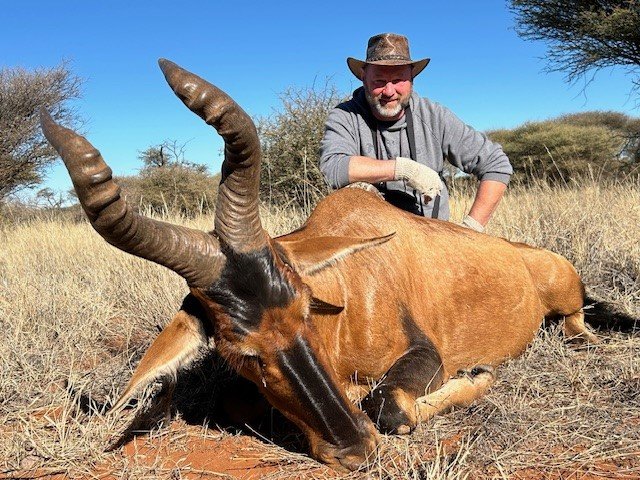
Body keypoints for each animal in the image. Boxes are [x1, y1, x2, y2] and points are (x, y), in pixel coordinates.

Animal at [42, 58, 604, 470]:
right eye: (241, 353)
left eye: (307, 308)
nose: (355, 449)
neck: (350, 288)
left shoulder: (425, 353)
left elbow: (390, 408)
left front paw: (475, 374)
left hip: (567, 304)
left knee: (577, 325)